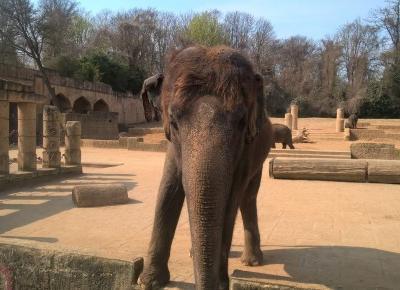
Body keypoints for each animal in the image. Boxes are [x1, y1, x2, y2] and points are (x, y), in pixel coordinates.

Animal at [139, 45, 274, 290]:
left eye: (241, 122)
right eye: (173, 121)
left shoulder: (247, 149)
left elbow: (231, 200)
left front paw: (221, 284)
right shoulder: (173, 145)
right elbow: (168, 189)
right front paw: (149, 282)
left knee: (248, 197)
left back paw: (252, 262)